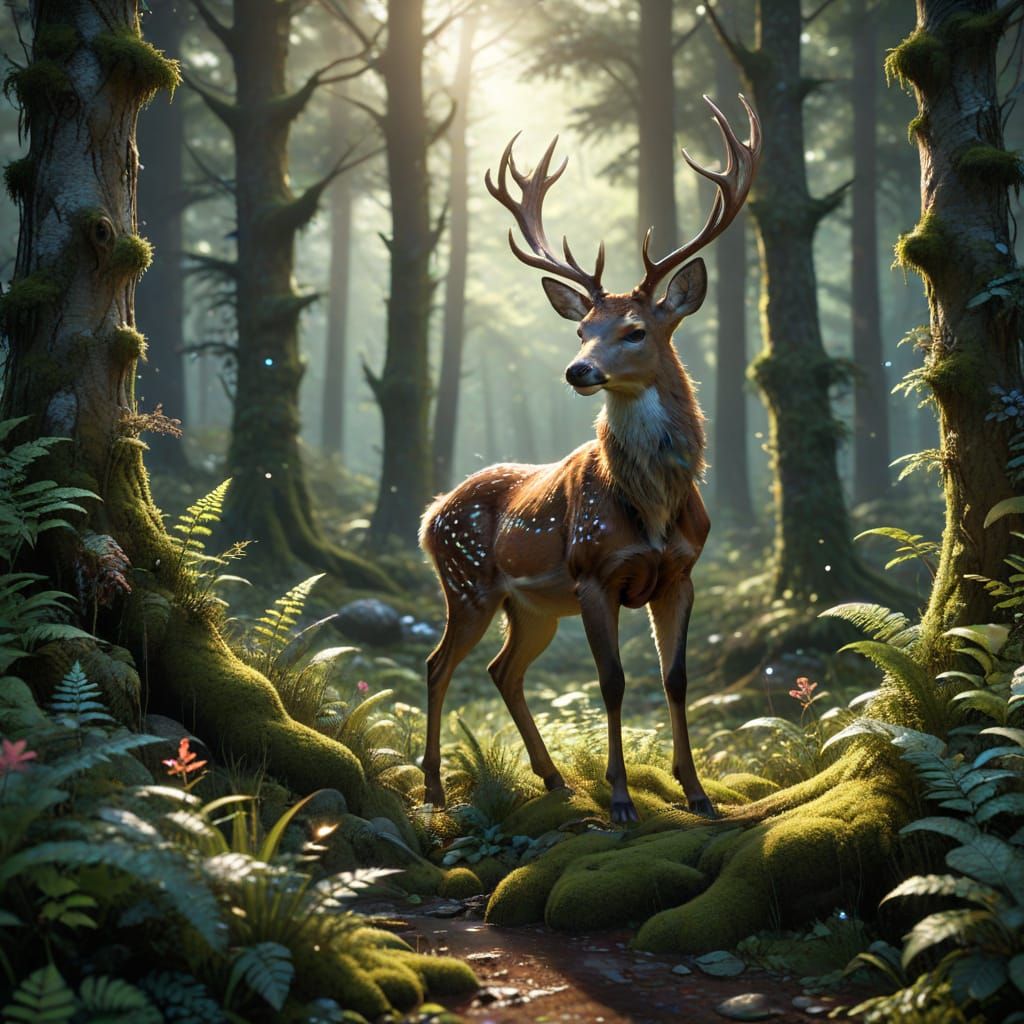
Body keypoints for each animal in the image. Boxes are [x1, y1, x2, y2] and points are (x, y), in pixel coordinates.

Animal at [420, 96, 761, 824]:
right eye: (581, 329)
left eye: (634, 330)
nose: (578, 370)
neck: (654, 508)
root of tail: (431, 513)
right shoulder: (592, 572)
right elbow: (611, 681)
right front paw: (623, 800)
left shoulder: (681, 573)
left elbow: (675, 677)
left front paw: (697, 793)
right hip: (469, 583)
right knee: (439, 664)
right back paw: (433, 789)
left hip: (532, 607)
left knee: (501, 670)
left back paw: (552, 780)